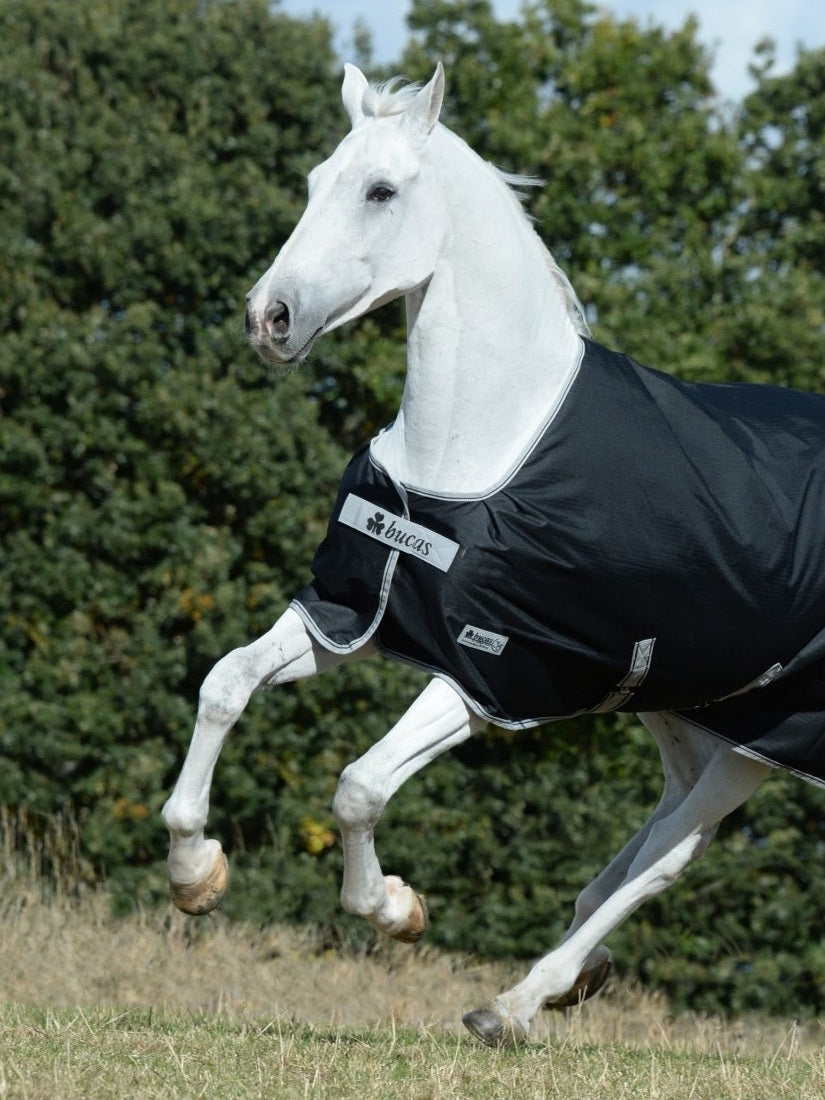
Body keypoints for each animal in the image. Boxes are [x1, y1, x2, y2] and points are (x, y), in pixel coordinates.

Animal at [162, 63, 825, 1047]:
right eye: (315, 181)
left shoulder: (488, 677)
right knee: (665, 830)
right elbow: (224, 684)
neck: (479, 444)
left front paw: (395, 909)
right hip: (679, 709)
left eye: (381, 190)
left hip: (763, 736)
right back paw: (575, 976)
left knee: (668, 856)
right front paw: (195, 871)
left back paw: (515, 1005)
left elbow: (359, 786)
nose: (268, 319)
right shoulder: (349, 614)